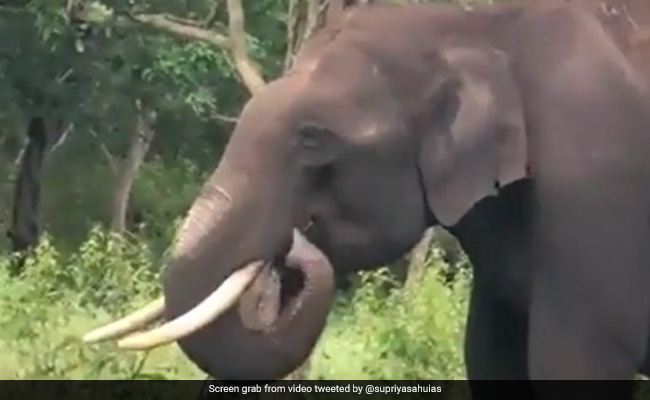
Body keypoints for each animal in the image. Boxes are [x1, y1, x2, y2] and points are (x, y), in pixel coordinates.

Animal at [83, 0, 650, 395]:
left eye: (313, 138)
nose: (293, 244)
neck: (472, 24)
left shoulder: (593, 188)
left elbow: (573, 364)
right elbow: (489, 360)